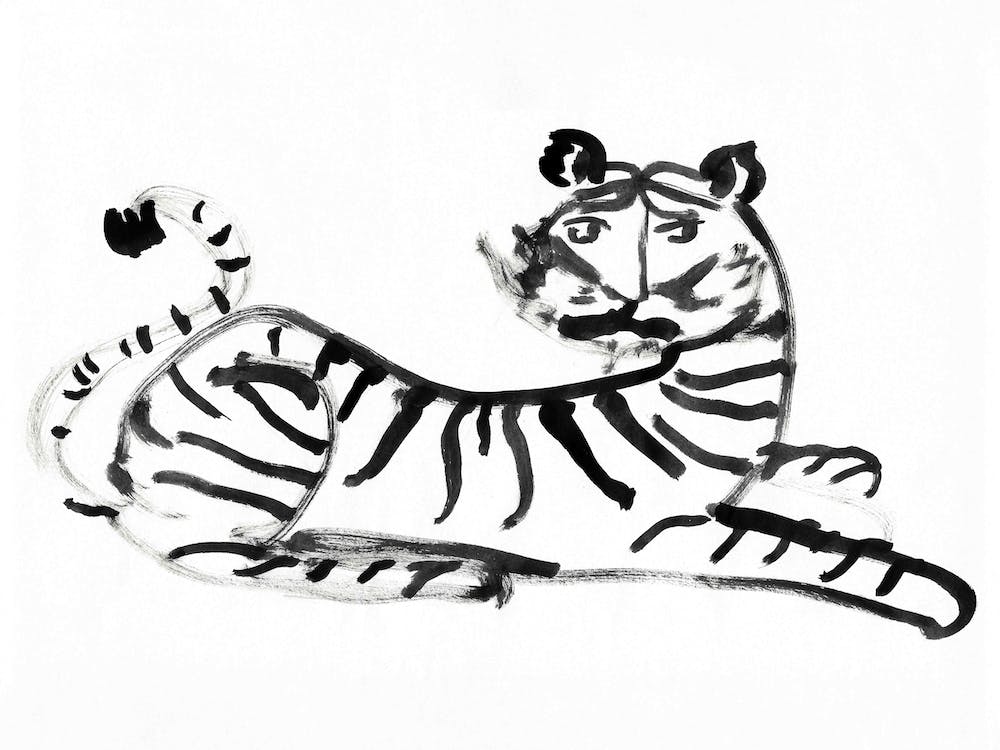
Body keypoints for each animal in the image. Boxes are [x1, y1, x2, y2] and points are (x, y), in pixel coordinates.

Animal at [28, 129, 975, 639]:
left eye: (675, 232)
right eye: (583, 230)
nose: (610, 307)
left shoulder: (725, 487)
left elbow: (815, 494)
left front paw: (851, 482)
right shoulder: (661, 535)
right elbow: (806, 555)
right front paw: (934, 597)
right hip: (282, 403)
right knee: (204, 548)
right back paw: (443, 574)